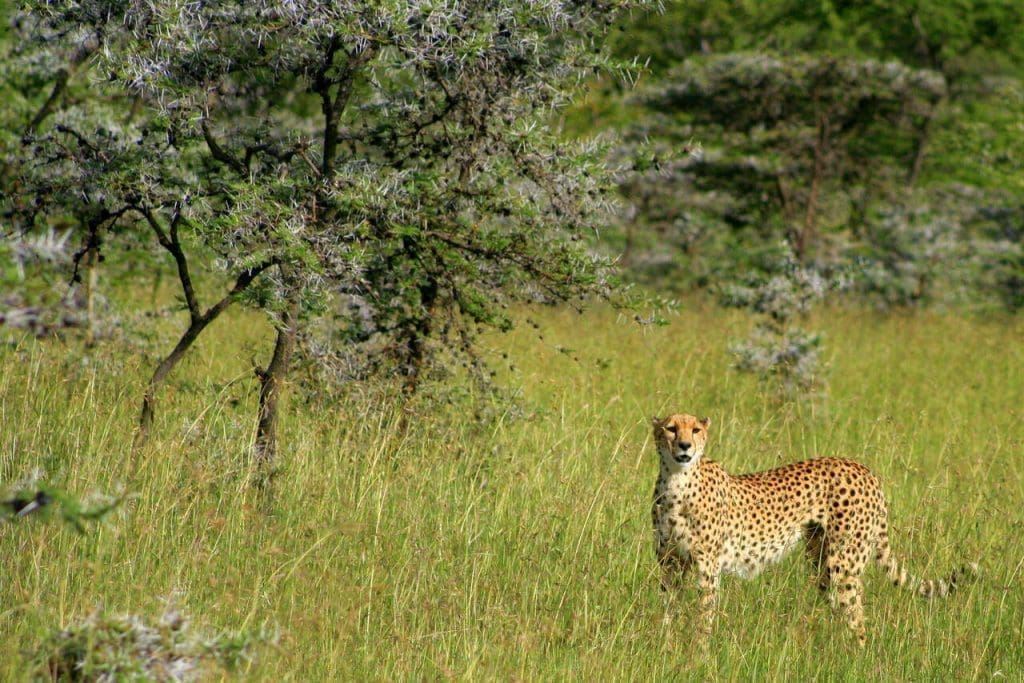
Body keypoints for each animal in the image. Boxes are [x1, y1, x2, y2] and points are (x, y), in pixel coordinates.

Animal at [650, 412, 976, 646]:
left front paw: (698, 654)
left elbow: (704, 613)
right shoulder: (669, 561)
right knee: (841, 608)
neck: (677, 481)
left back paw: (854, 661)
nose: (684, 446)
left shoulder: (708, 565)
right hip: (822, 559)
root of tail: (863, 468)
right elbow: (667, 607)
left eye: (695, 430)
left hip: (843, 563)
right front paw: (664, 646)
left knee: (856, 614)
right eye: (671, 428)